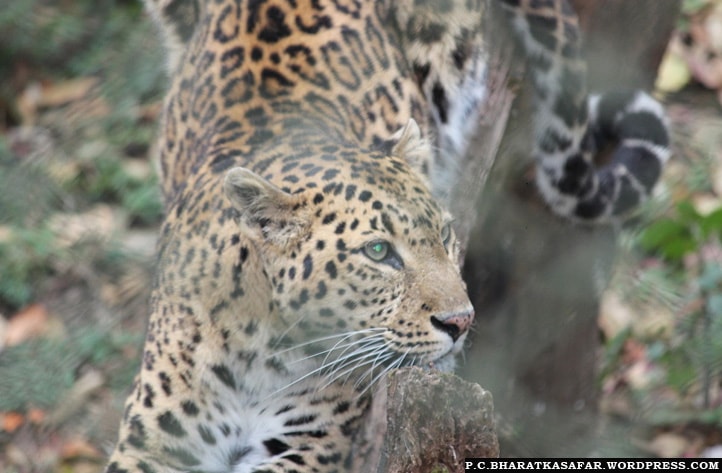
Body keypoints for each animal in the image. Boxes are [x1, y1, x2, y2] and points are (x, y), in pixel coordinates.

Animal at [105, 0, 668, 472]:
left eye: (445, 234)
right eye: (379, 252)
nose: (460, 321)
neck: (257, 347)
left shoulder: (307, 443)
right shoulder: (151, 443)